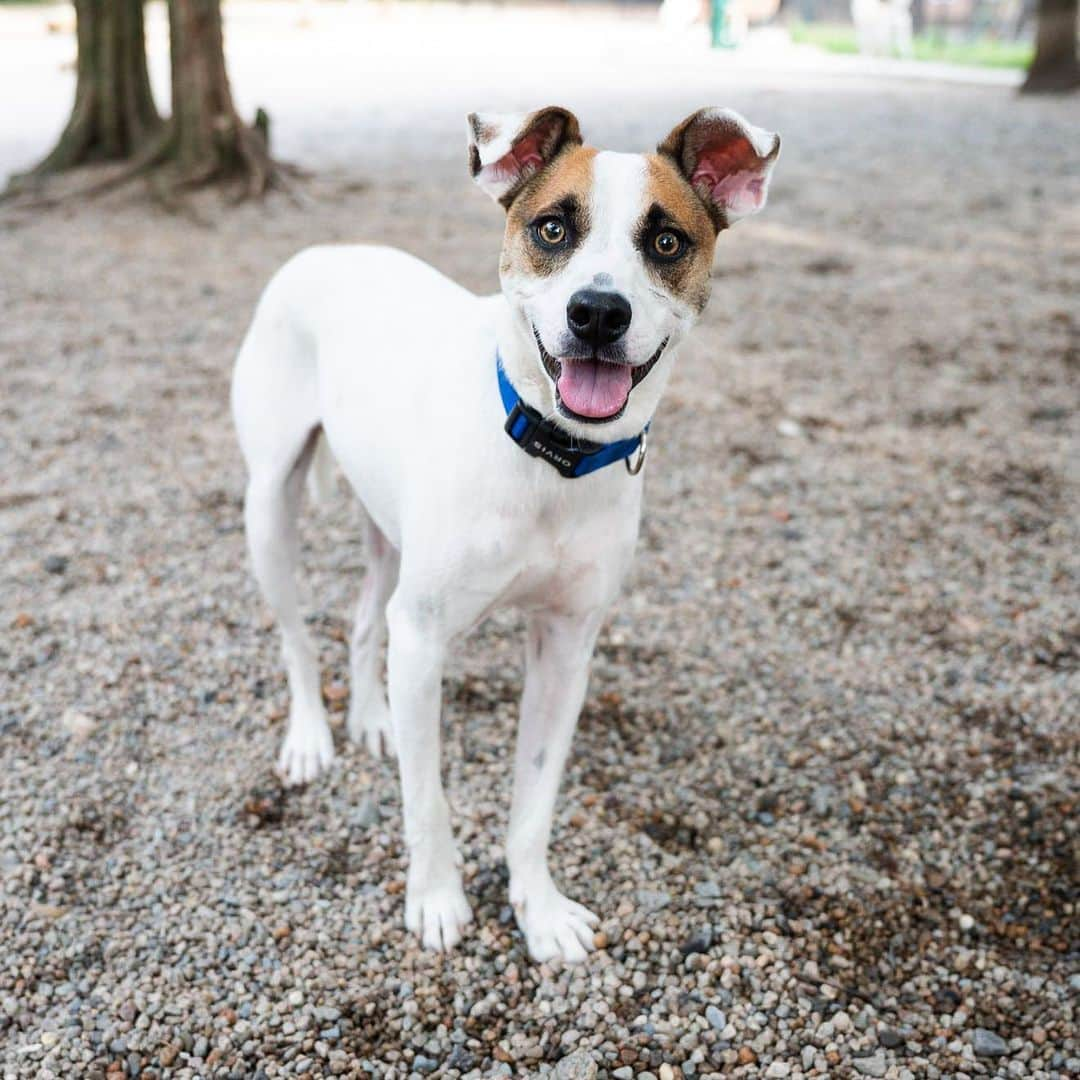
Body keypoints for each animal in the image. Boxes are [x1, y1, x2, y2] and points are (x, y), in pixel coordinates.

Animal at [232, 103, 781, 963]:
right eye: (552, 227)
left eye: (665, 243)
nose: (598, 312)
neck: (551, 456)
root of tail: (327, 249)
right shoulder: (425, 639)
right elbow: (427, 800)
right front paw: (436, 902)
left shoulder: (565, 647)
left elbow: (535, 801)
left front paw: (539, 909)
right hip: (270, 505)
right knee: (294, 634)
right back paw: (312, 738)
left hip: (389, 537)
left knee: (363, 621)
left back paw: (370, 720)